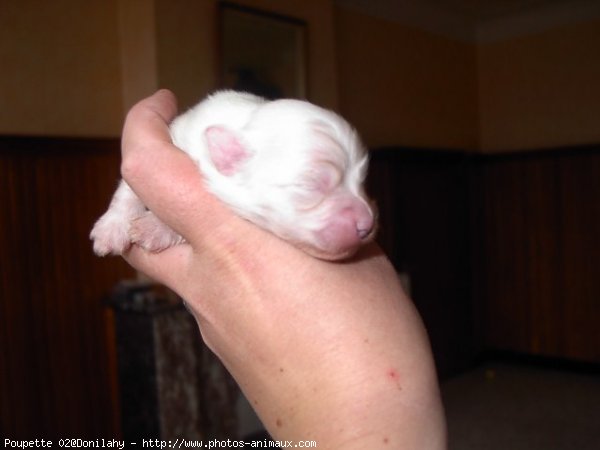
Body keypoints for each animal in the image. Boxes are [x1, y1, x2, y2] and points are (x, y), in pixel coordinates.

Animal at [90, 91, 376, 260]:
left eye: (363, 182)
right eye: (309, 185)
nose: (368, 225)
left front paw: (154, 228)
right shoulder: (175, 136)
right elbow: (127, 191)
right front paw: (110, 230)